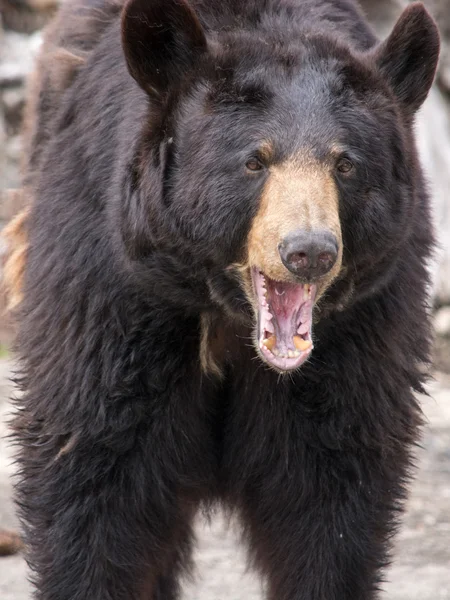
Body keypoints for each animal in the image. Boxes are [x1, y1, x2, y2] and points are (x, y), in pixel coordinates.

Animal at [8, 1, 440, 600]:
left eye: (345, 164)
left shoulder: (361, 326)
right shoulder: (114, 289)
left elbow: (331, 488)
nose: (309, 251)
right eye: (255, 161)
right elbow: (93, 466)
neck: (227, 318)